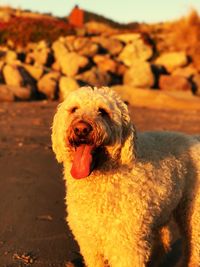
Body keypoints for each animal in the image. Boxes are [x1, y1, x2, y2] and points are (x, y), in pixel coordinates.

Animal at [52, 87, 200, 266]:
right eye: (74, 109)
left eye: (103, 111)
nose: (81, 129)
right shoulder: (90, 245)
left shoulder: (127, 246)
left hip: (193, 214)